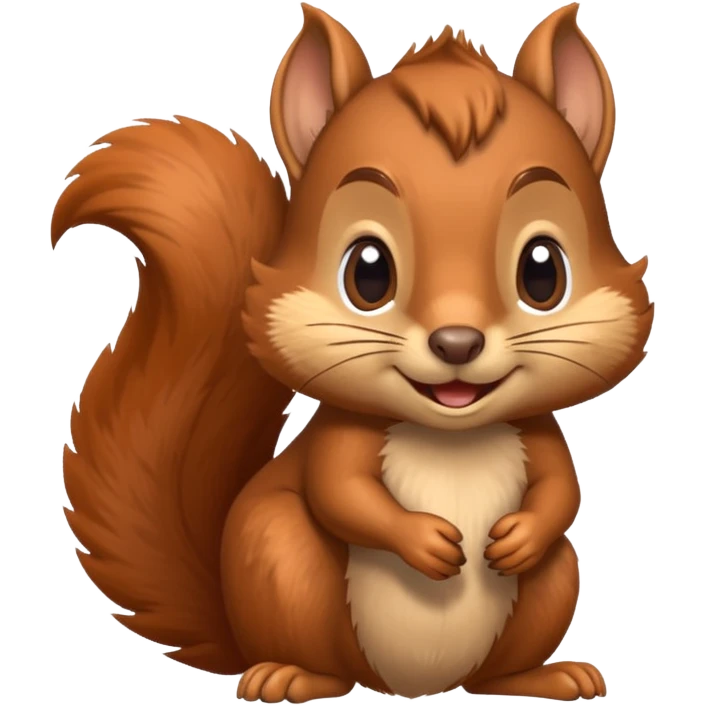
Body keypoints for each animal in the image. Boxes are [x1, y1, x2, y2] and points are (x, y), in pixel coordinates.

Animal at [50, 2, 653, 703]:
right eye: (368, 273)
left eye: (542, 273)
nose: (457, 342)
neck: (449, 434)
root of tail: (412, 686)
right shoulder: (341, 438)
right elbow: (340, 494)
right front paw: (424, 540)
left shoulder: (537, 434)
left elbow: (563, 490)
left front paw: (520, 536)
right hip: (280, 558)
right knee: (320, 648)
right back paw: (290, 675)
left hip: (554, 582)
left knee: (507, 653)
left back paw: (546, 674)